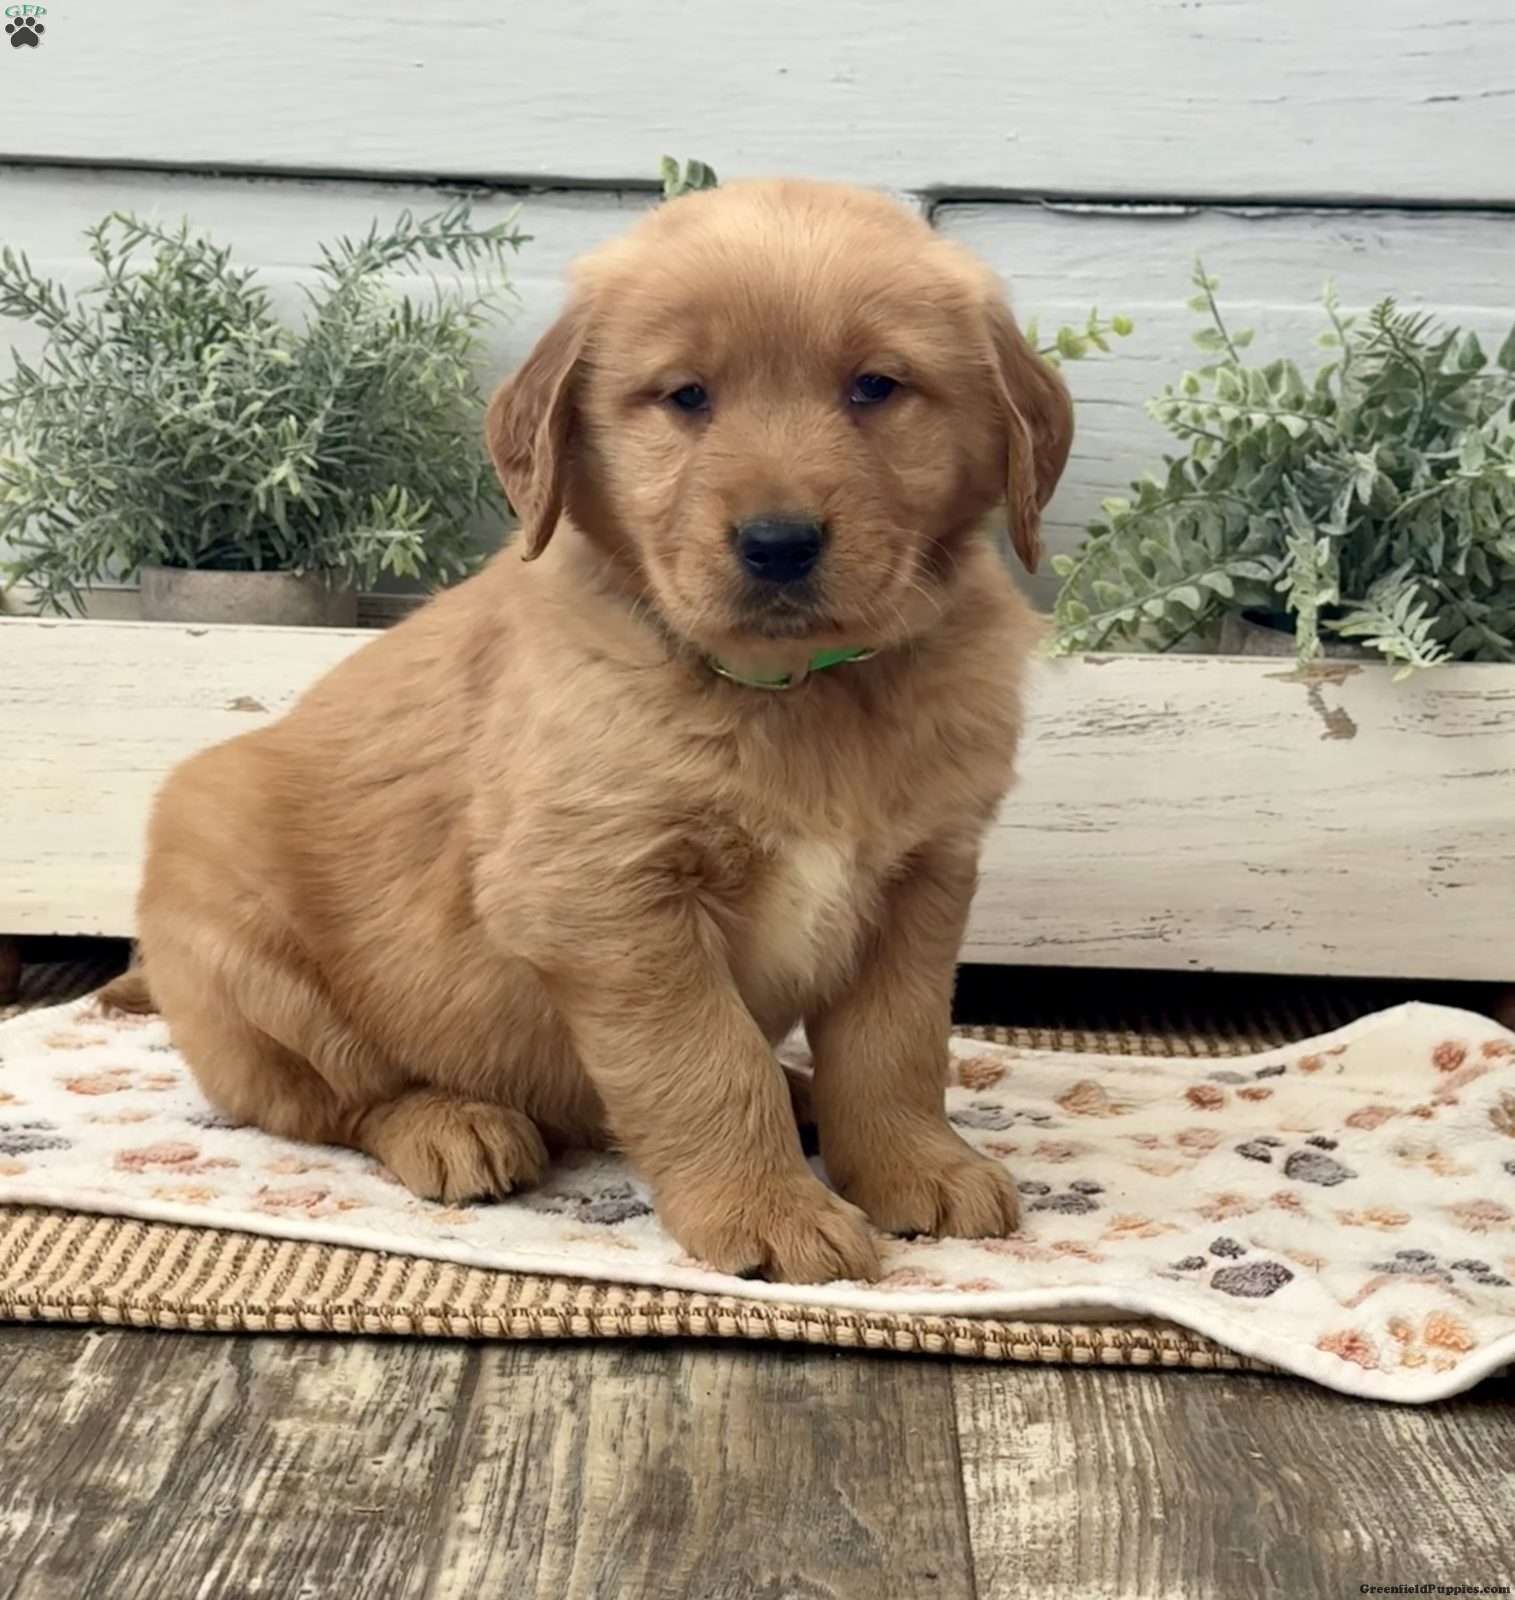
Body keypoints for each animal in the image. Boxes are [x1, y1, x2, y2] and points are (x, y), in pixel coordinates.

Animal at [122, 180, 1073, 1284]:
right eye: (687, 396)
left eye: (876, 387)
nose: (778, 542)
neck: (793, 693)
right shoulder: (605, 895)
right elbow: (706, 1059)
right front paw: (768, 1210)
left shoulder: (922, 879)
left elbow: (897, 1047)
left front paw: (917, 1164)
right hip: (237, 915)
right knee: (346, 1096)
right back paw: (453, 1123)